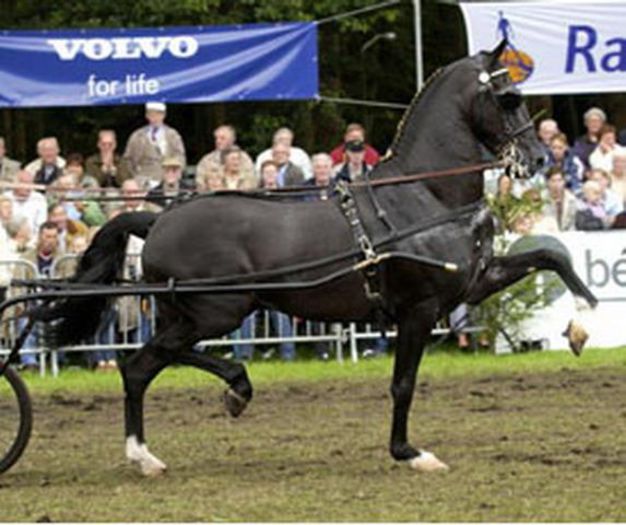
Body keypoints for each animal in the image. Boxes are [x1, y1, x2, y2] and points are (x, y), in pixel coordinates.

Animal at [33, 41, 596, 474]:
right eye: (507, 98)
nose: (539, 159)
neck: (424, 197)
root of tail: (158, 220)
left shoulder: (472, 283)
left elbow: (550, 256)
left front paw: (581, 323)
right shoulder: (418, 310)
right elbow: (403, 384)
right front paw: (408, 453)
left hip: (198, 312)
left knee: (152, 363)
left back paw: (215, 404)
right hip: (219, 310)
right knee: (142, 364)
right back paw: (160, 442)